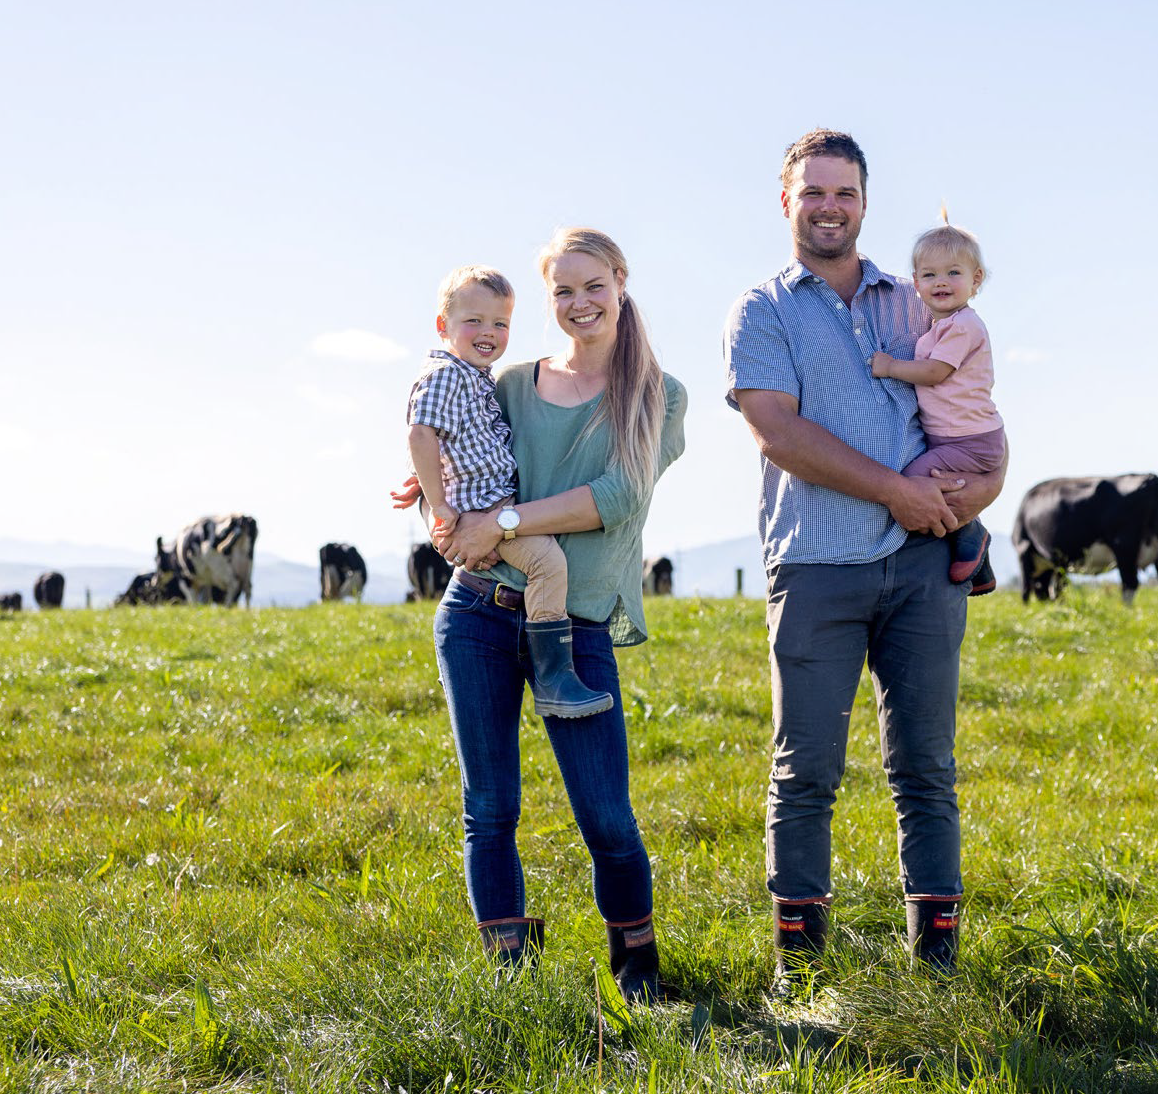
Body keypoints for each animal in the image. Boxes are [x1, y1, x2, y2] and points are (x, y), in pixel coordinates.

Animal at [1012, 474, 1158, 605]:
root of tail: (1150, 479)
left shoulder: (1023, 548)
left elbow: (1026, 590)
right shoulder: (1059, 563)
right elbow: (1057, 590)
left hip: (1124, 545)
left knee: (1129, 584)